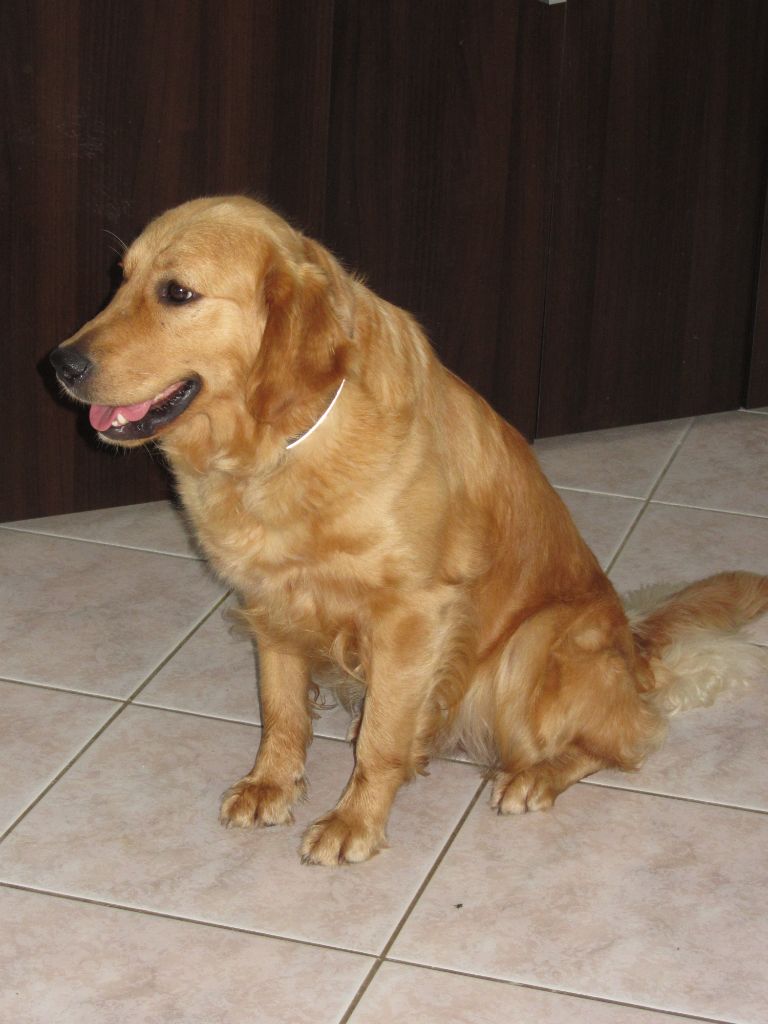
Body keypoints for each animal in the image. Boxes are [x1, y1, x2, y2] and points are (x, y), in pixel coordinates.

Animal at [50, 196, 768, 865]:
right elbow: (282, 712)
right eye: (121, 278)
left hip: (530, 649)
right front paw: (272, 785)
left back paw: (534, 776)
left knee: (624, 737)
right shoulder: (270, 599)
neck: (287, 440)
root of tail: (635, 649)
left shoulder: (414, 611)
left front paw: (355, 820)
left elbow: (383, 741)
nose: (62, 364)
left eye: (177, 293)